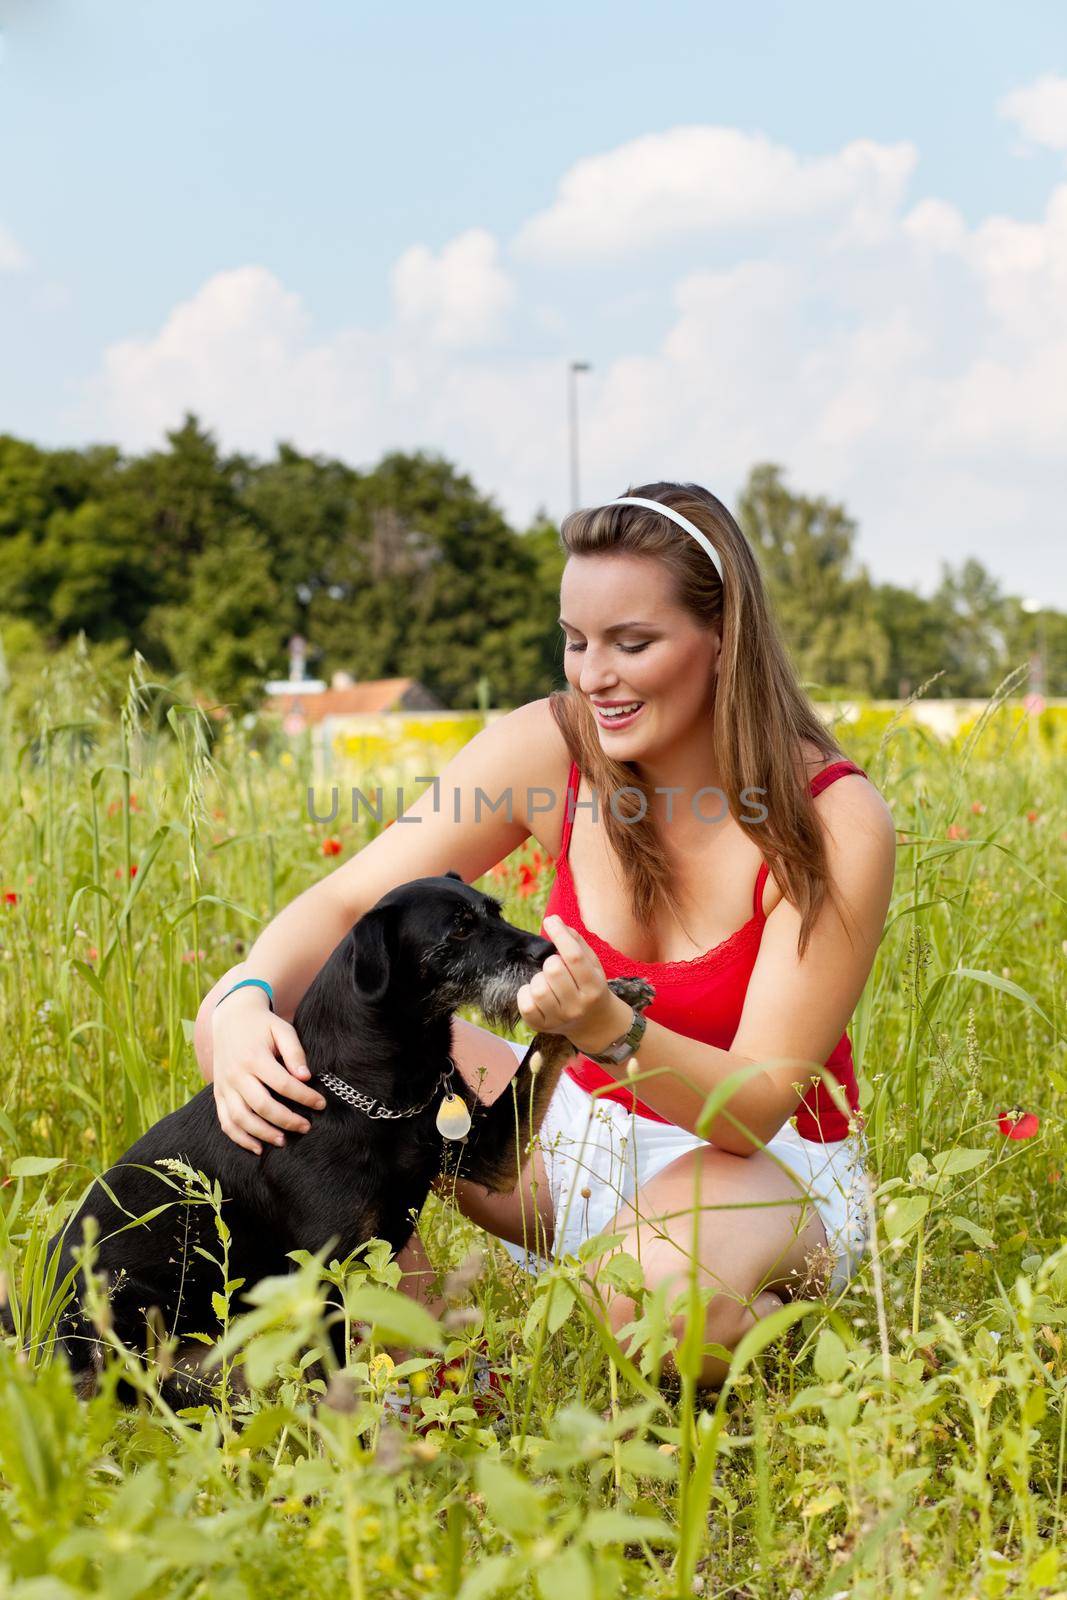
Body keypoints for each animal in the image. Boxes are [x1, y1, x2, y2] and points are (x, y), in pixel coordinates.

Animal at [41, 870, 655, 1408]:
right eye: (458, 930)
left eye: (495, 913)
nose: (549, 953)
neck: (380, 1089)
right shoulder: (322, 1282)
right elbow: (334, 1384)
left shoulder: (490, 1153)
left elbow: (540, 1055)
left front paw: (608, 997)